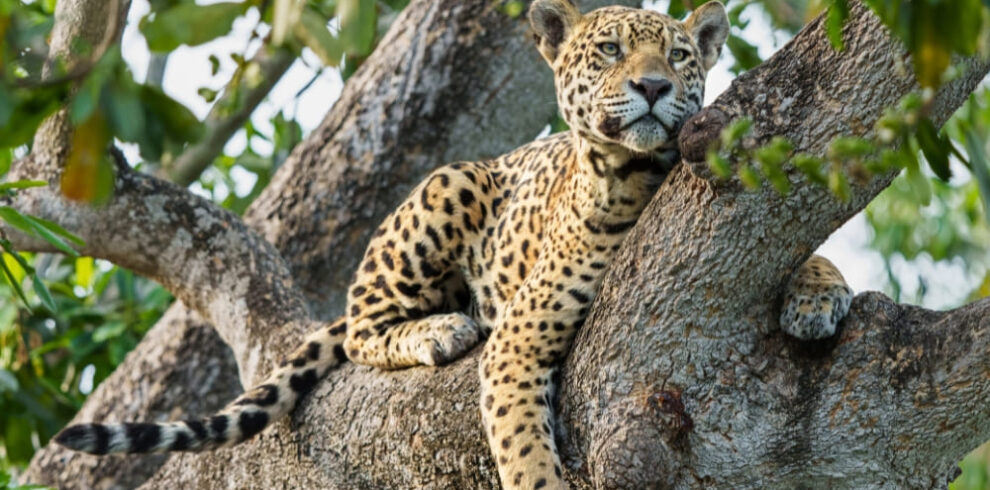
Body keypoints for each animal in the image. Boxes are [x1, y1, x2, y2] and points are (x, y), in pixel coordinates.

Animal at [54, 1, 853, 489]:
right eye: (611, 50)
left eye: (682, 55)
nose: (655, 86)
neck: (642, 177)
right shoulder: (519, 341)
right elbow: (524, 449)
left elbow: (811, 249)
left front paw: (816, 297)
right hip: (449, 183)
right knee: (364, 325)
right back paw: (439, 327)